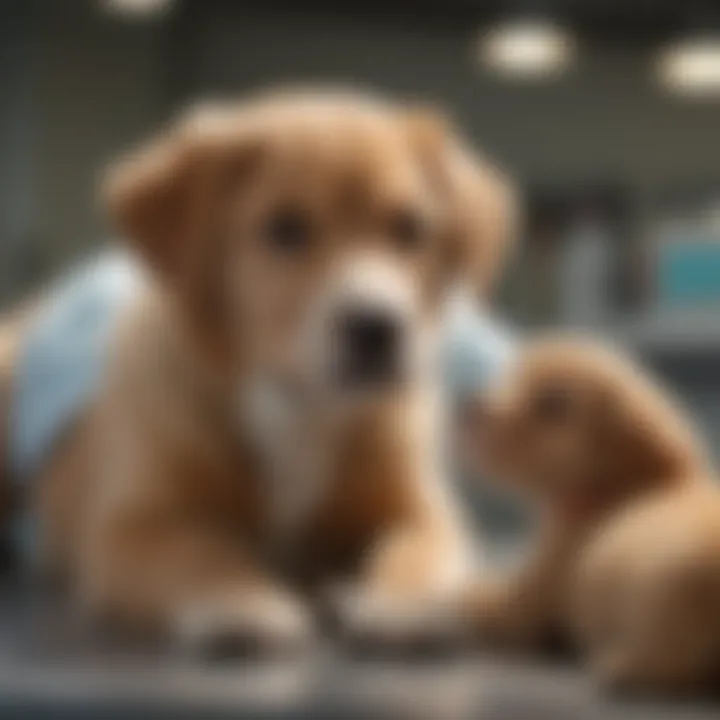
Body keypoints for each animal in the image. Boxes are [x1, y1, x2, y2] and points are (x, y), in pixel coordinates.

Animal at [0, 90, 516, 652]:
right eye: (284, 228)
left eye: (410, 228)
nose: (377, 328)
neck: (297, 406)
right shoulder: (130, 528)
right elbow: (200, 553)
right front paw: (240, 600)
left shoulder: (420, 510)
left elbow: (423, 551)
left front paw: (406, 604)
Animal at [462, 340, 720, 696]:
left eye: (552, 405)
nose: (470, 406)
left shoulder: (526, 605)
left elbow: (483, 600)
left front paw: (465, 593)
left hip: (669, 597)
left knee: (676, 667)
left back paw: (618, 666)